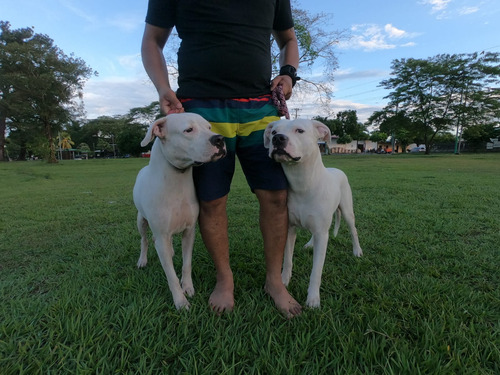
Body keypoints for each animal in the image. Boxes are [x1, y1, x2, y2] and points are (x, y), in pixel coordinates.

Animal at [133, 113, 227, 310]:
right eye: (188, 130)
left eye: (209, 127)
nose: (220, 139)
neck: (177, 180)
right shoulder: (161, 235)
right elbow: (170, 274)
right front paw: (180, 301)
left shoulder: (189, 231)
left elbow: (186, 264)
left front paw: (188, 287)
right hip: (141, 220)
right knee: (145, 239)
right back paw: (142, 260)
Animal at [262, 119, 364, 308]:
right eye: (273, 132)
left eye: (300, 130)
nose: (278, 139)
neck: (302, 182)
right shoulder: (290, 228)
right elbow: (287, 259)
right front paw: (284, 281)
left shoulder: (322, 234)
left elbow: (316, 270)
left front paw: (313, 299)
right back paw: (310, 244)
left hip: (347, 211)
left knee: (353, 230)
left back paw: (357, 251)